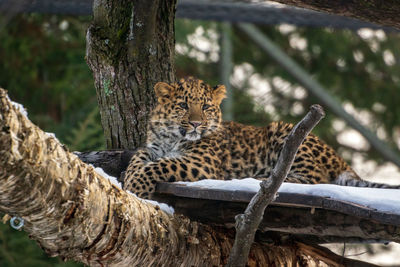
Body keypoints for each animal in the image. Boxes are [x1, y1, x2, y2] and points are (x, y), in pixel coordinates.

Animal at [123, 77, 398, 199]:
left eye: (206, 108)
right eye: (182, 106)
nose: (196, 123)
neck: (171, 137)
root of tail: (341, 161)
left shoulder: (201, 162)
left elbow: (160, 165)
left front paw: (135, 187)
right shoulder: (152, 147)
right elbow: (139, 158)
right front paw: (129, 177)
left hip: (285, 132)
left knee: (311, 178)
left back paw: (262, 178)